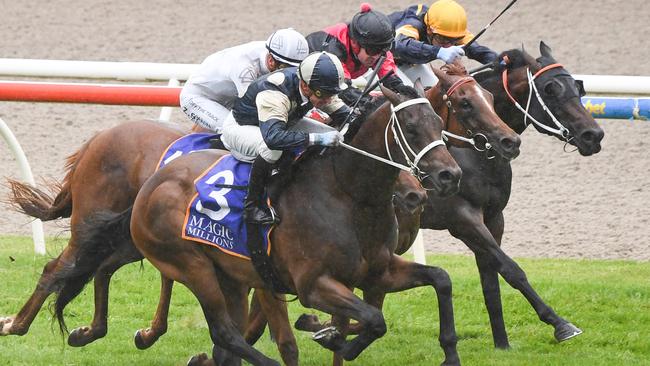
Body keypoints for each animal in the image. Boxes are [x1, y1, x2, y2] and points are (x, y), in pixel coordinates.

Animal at [83, 83, 460, 366]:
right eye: (411, 128)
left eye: (438, 123)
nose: (450, 175)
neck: (348, 197)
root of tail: (151, 185)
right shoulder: (311, 284)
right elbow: (372, 319)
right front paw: (331, 338)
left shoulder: (378, 271)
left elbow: (440, 279)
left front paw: (450, 353)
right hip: (191, 265)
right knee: (224, 332)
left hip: (228, 275)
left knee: (227, 339)